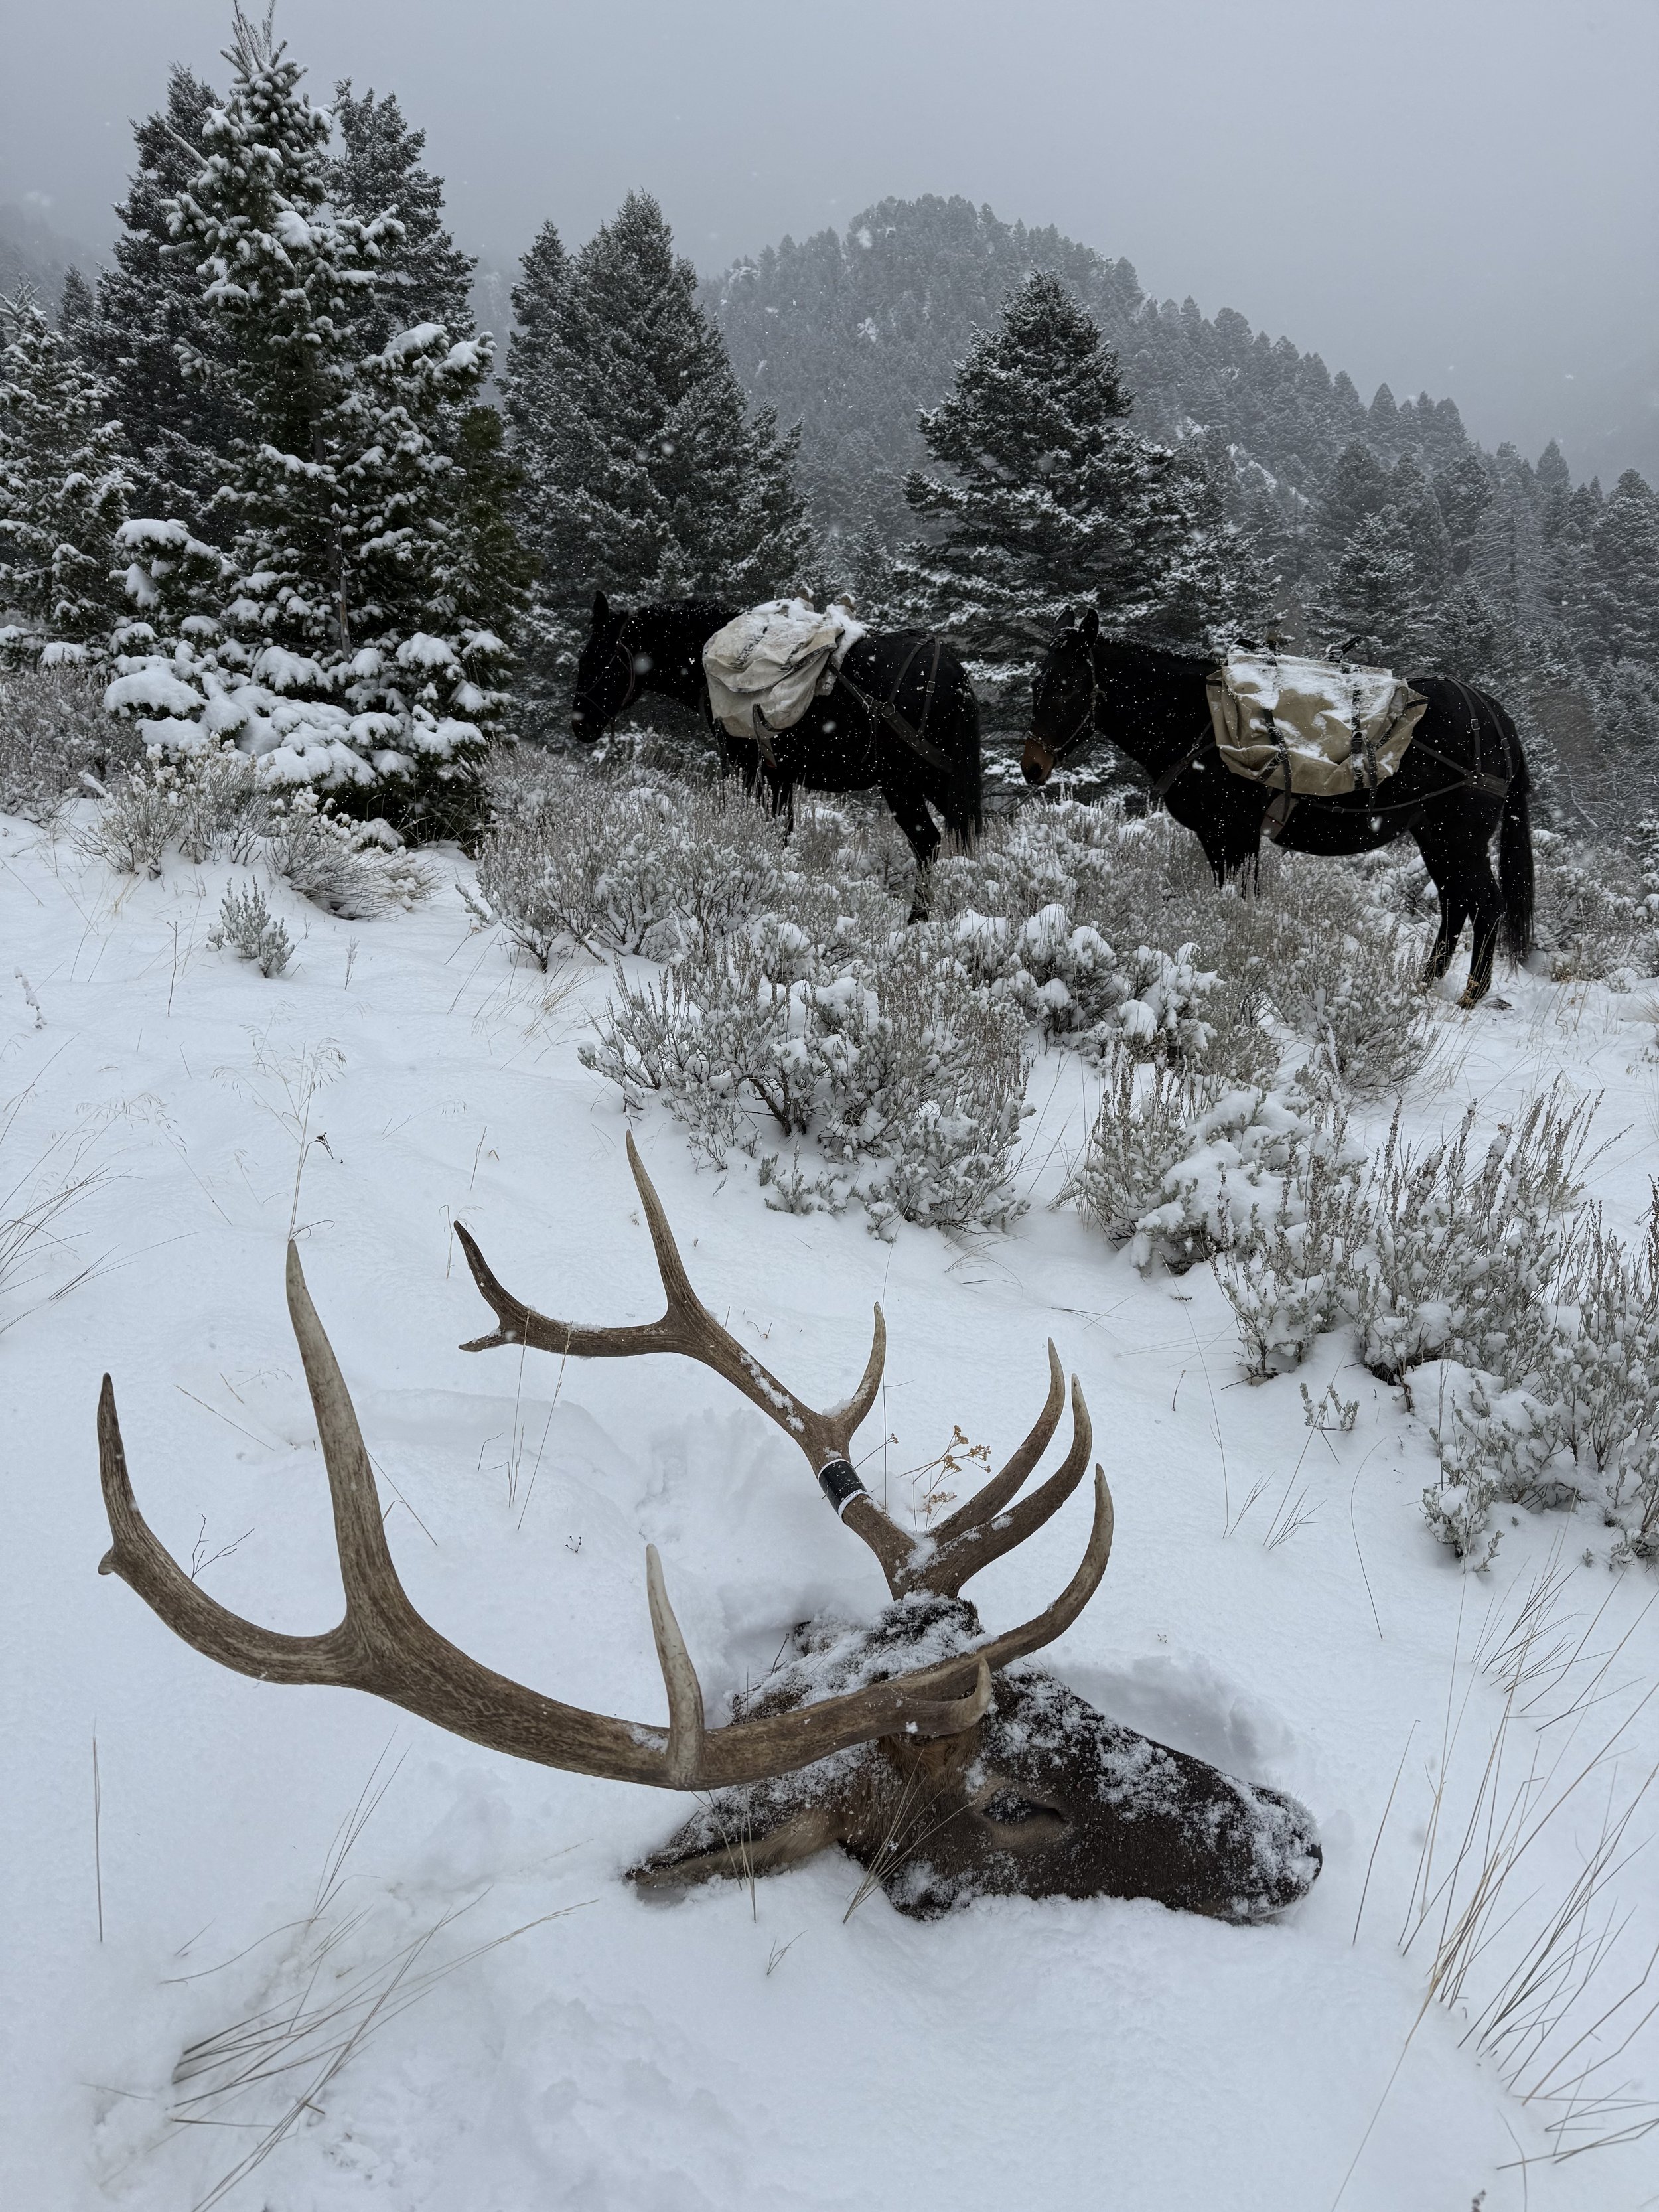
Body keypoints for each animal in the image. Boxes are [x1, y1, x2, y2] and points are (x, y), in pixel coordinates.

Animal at [571, 593, 982, 912]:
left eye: (594, 658)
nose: (579, 724)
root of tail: (949, 670)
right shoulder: (779, 774)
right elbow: (782, 829)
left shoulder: (747, 766)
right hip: (938, 781)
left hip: (903, 783)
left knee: (927, 842)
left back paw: (918, 919)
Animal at [1023, 611, 1535, 1007]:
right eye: (1036, 683)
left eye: (1067, 685)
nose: (1032, 766)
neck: (1203, 718)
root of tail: (1492, 714)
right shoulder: (1218, 837)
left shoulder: (1234, 831)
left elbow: (1239, 900)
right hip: (1435, 835)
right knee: (1456, 902)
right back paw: (1425, 984)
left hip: (1461, 836)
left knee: (1486, 904)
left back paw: (1471, 995)